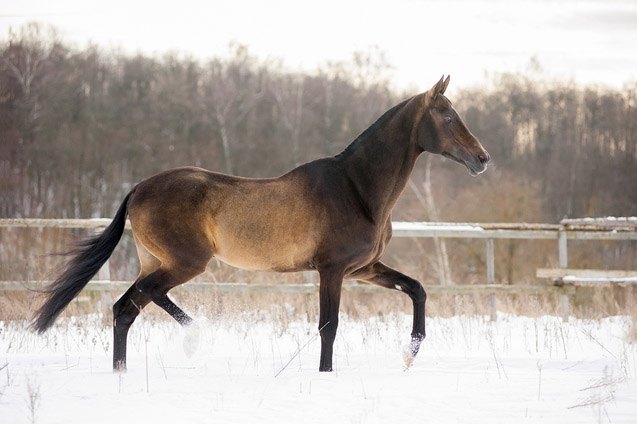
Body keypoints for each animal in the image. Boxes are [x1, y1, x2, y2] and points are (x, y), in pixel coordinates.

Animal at [32, 76, 490, 372]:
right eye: (447, 116)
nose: (482, 158)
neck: (357, 188)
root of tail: (137, 189)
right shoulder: (332, 269)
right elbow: (328, 327)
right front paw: (326, 375)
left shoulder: (363, 268)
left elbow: (417, 289)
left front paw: (410, 354)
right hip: (184, 263)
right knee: (139, 300)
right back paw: (193, 337)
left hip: (157, 262)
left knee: (126, 308)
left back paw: (126, 370)